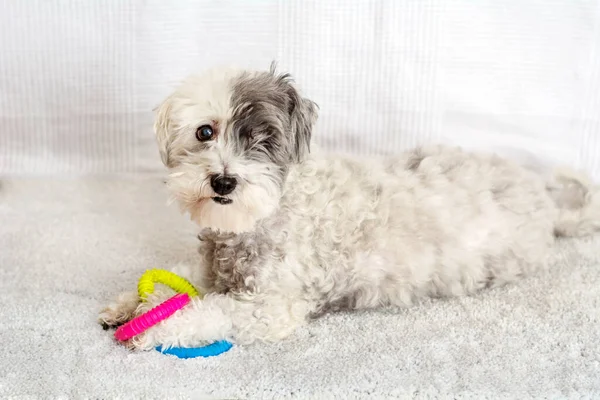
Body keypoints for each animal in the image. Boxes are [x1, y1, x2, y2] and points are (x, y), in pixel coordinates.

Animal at [99, 64, 600, 348]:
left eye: (264, 140)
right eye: (205, 131)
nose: (223, 180)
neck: (268, 216)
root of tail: (545, 203)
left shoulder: (270, 306)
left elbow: (207, 310)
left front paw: (153, 328)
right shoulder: (211, 267)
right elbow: (178, 277)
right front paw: (130, 305)